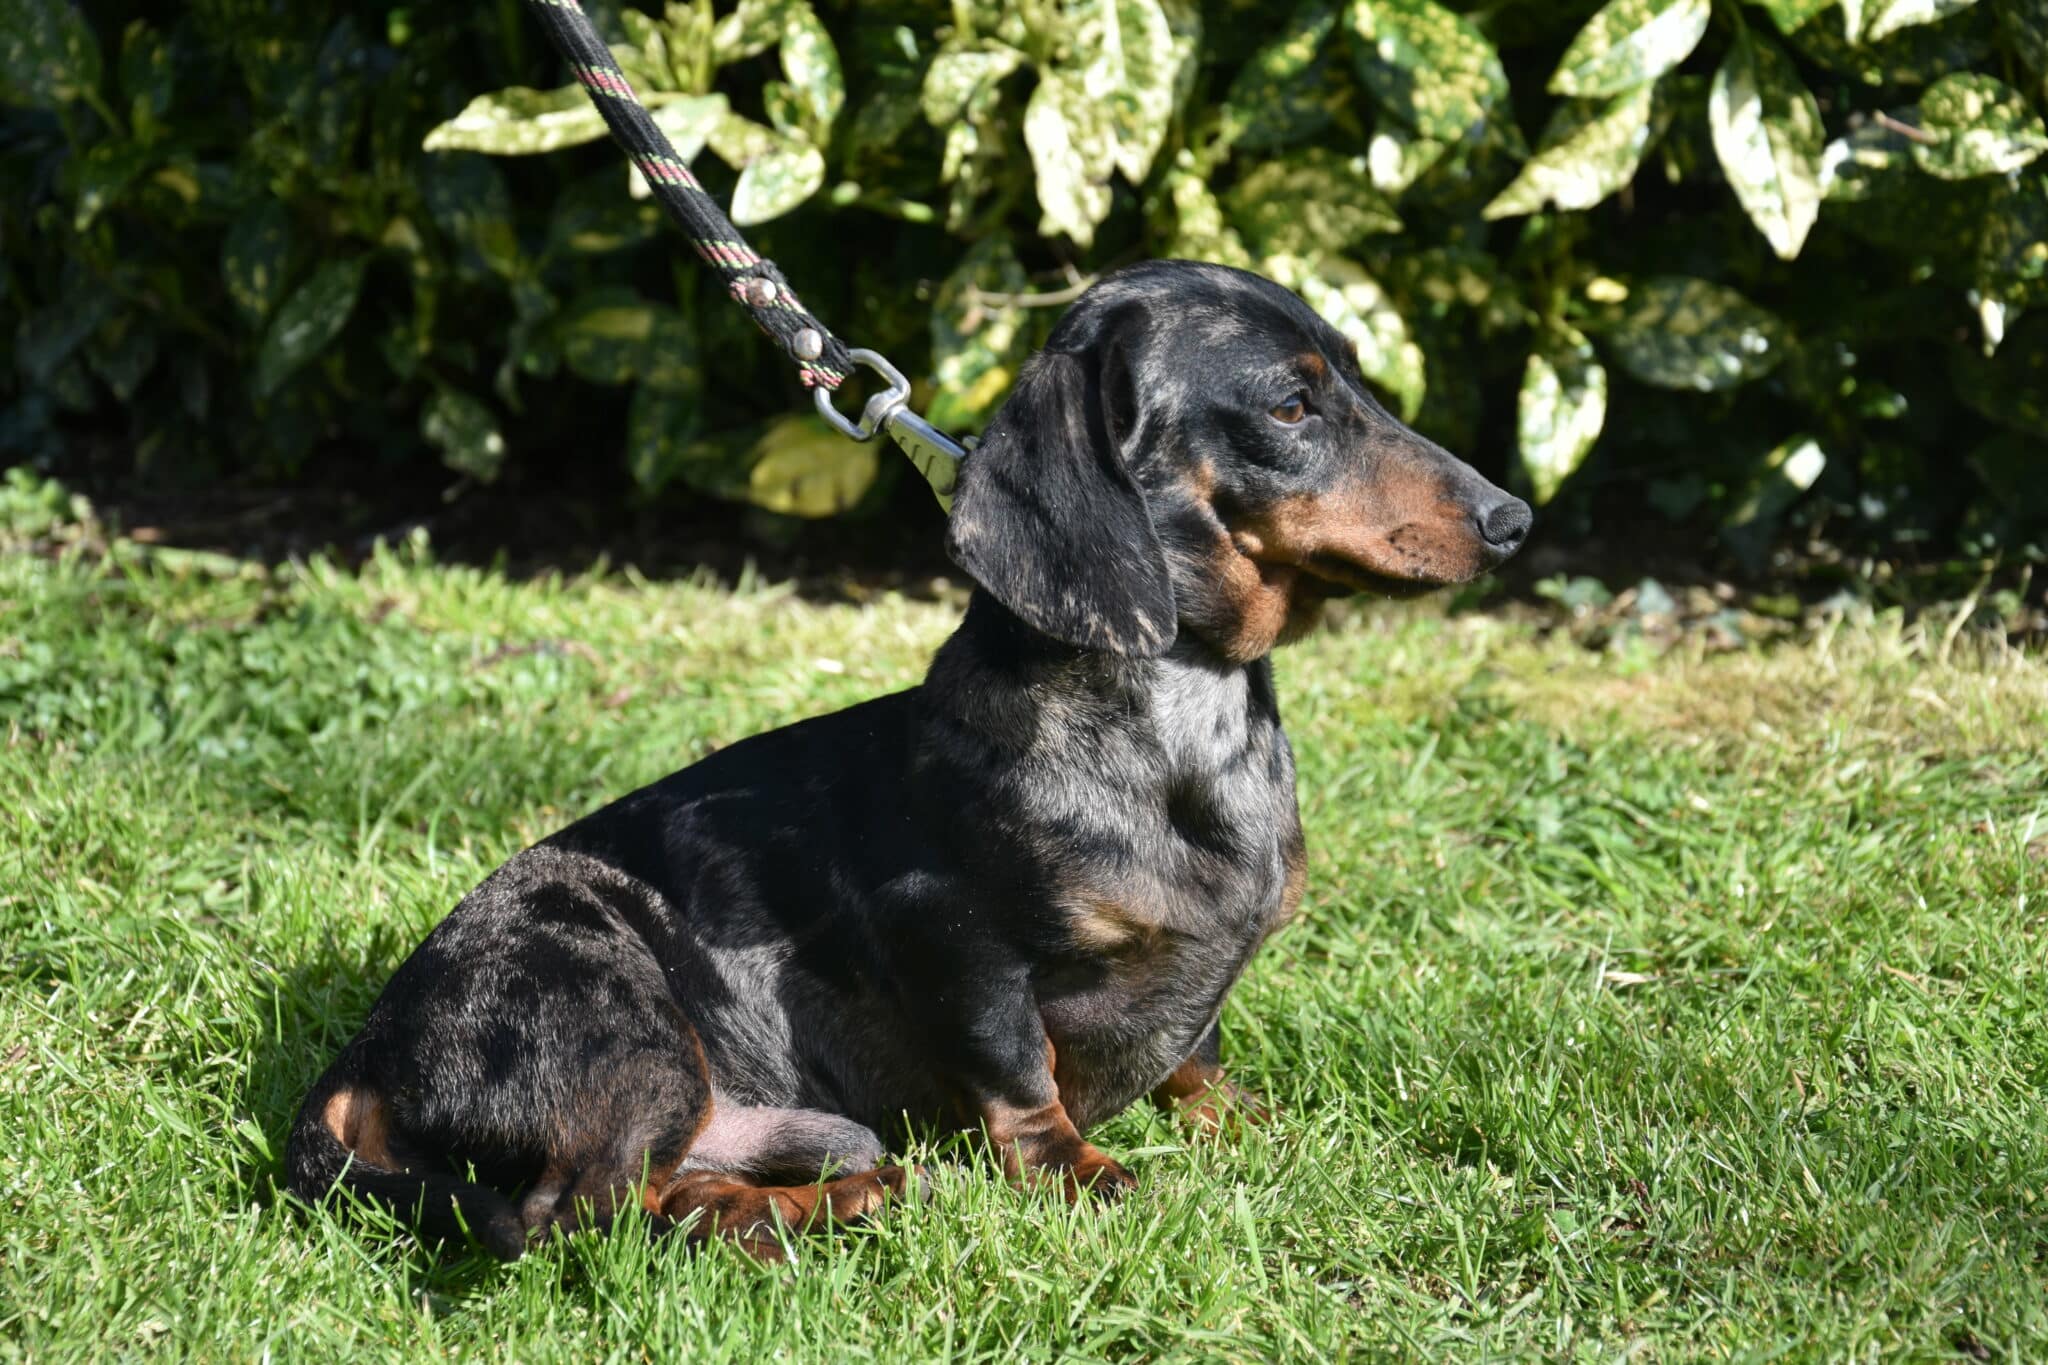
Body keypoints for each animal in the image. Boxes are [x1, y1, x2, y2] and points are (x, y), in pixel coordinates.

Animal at [286, 260, 1530, 1260]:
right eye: (1289, 403)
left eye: (1362, 383)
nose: (1512, 519)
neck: (1182, 728)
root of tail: (368, 1052)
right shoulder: (951, 935)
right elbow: (1019, 1072)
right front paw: (1081, 1173)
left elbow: (1197, 1056)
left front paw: (1250, 1124)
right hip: (619, 1019)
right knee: (570, 1216)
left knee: (668, 1191)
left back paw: (833, 1201)